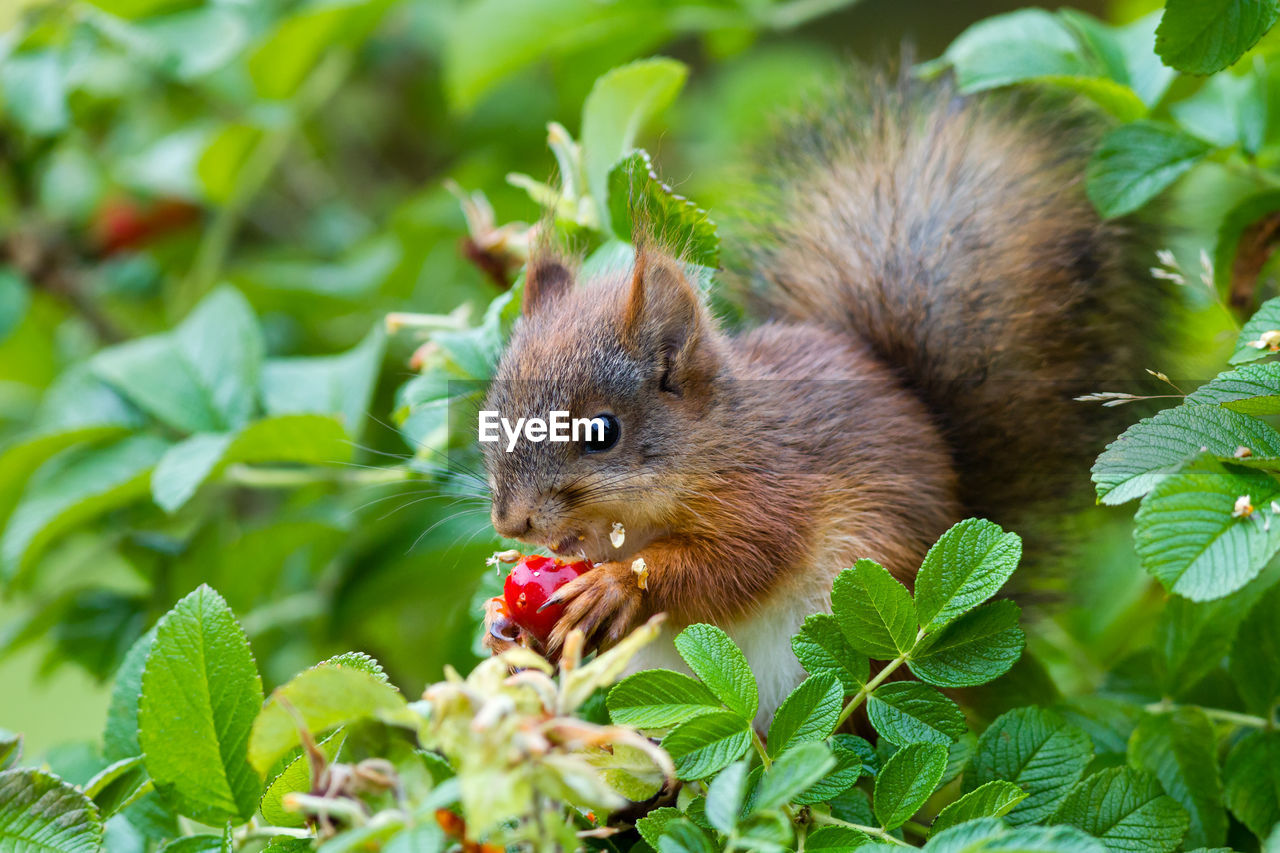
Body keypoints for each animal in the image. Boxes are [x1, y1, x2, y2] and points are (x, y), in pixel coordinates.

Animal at [478, 73, 1162, 722]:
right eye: (494, 416)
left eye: (602, 433)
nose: (513, 523)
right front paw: (504, 626)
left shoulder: (772, 489)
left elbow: (738, 562)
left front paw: (617, 585)